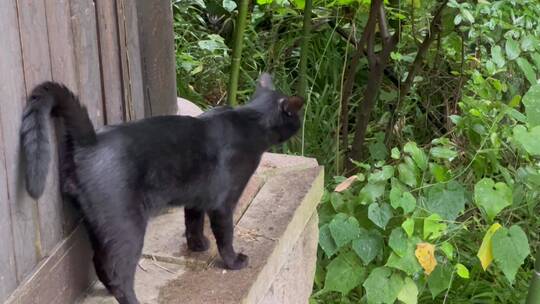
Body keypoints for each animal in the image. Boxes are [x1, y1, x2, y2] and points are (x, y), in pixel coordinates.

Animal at [20, 73, 304, 304]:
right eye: (298, 117)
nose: (301, 125)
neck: (250, 120)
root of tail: (91, 140)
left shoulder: (197, 197)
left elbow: (193, 222)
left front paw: (198, 246)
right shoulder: (223, 204)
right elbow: (225, 236)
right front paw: (234, 261)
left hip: (99, 225)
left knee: (100, 264)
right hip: (127, 226)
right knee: (117, 272)